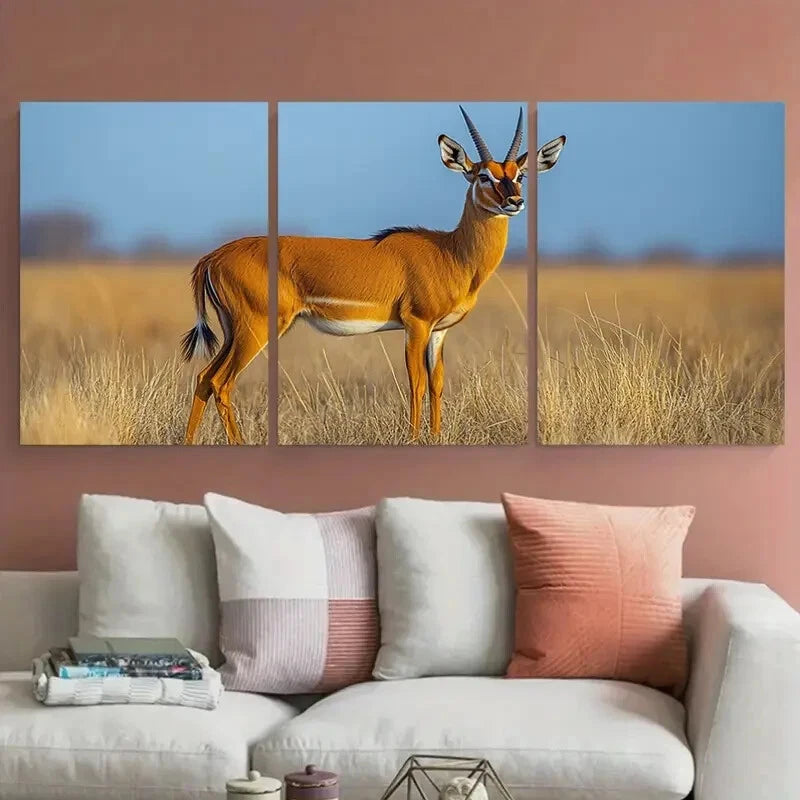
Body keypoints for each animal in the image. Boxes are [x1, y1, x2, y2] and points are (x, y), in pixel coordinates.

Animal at [181, 107, 566, 444]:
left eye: (519, 175)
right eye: (484, 175)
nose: (514, 202)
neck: (451, 252)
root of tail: (212, 257)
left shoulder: (439, 331)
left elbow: (437, 384)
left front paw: (435, 437)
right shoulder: (416, 324)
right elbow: (416, 384)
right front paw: (413, 439)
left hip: (235, 331)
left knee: (204, 377)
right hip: (257, 328)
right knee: (221, 382)